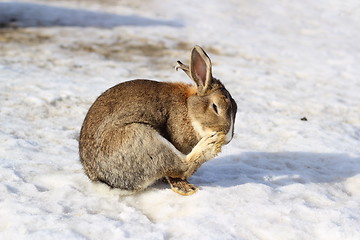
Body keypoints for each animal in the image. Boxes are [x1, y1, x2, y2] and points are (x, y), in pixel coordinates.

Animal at [79, 45, 236, 195]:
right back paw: (209, 144)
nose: (227, 137)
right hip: (143, 139)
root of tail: (103, 180)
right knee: (181, 166)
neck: (188, 107)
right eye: (215, 107)